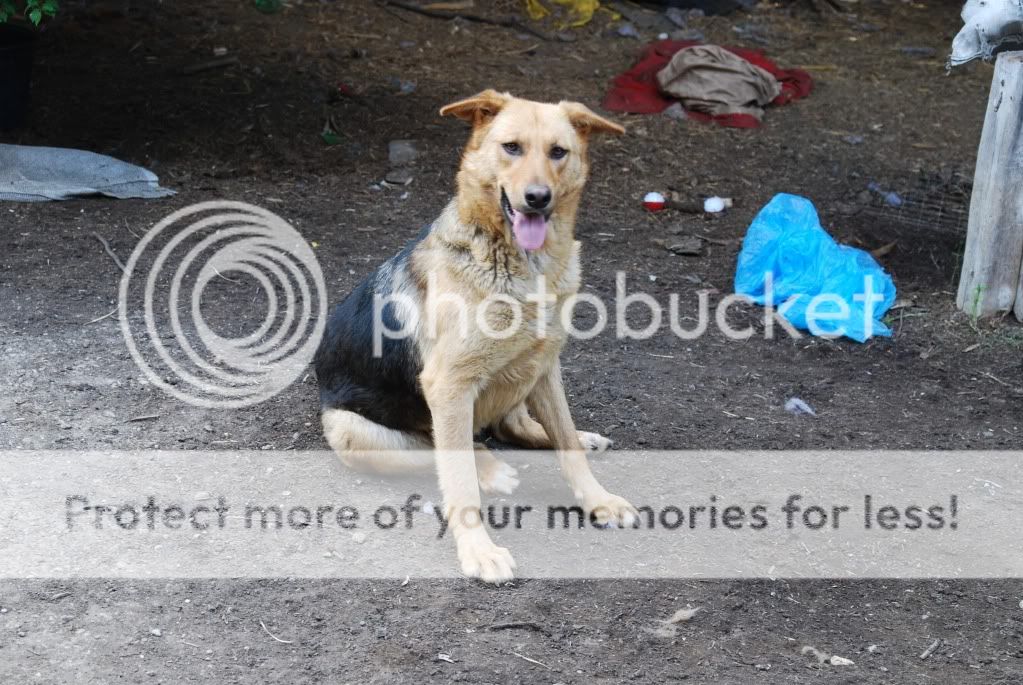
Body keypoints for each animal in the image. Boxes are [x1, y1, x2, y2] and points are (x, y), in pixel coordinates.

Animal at [310, 89, 634, 584]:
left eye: (559, 152)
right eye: (511, 147)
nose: (537, 199)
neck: (524, 265)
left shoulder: (547, 364)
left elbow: (566, 445)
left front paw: (596, 499)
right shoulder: (447, 384)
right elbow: (458, 478)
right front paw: (478, 550)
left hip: (526, 375)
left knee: (513, 426)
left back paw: (580, 437)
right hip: (350, 430)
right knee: (448, 449)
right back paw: (491, 468)